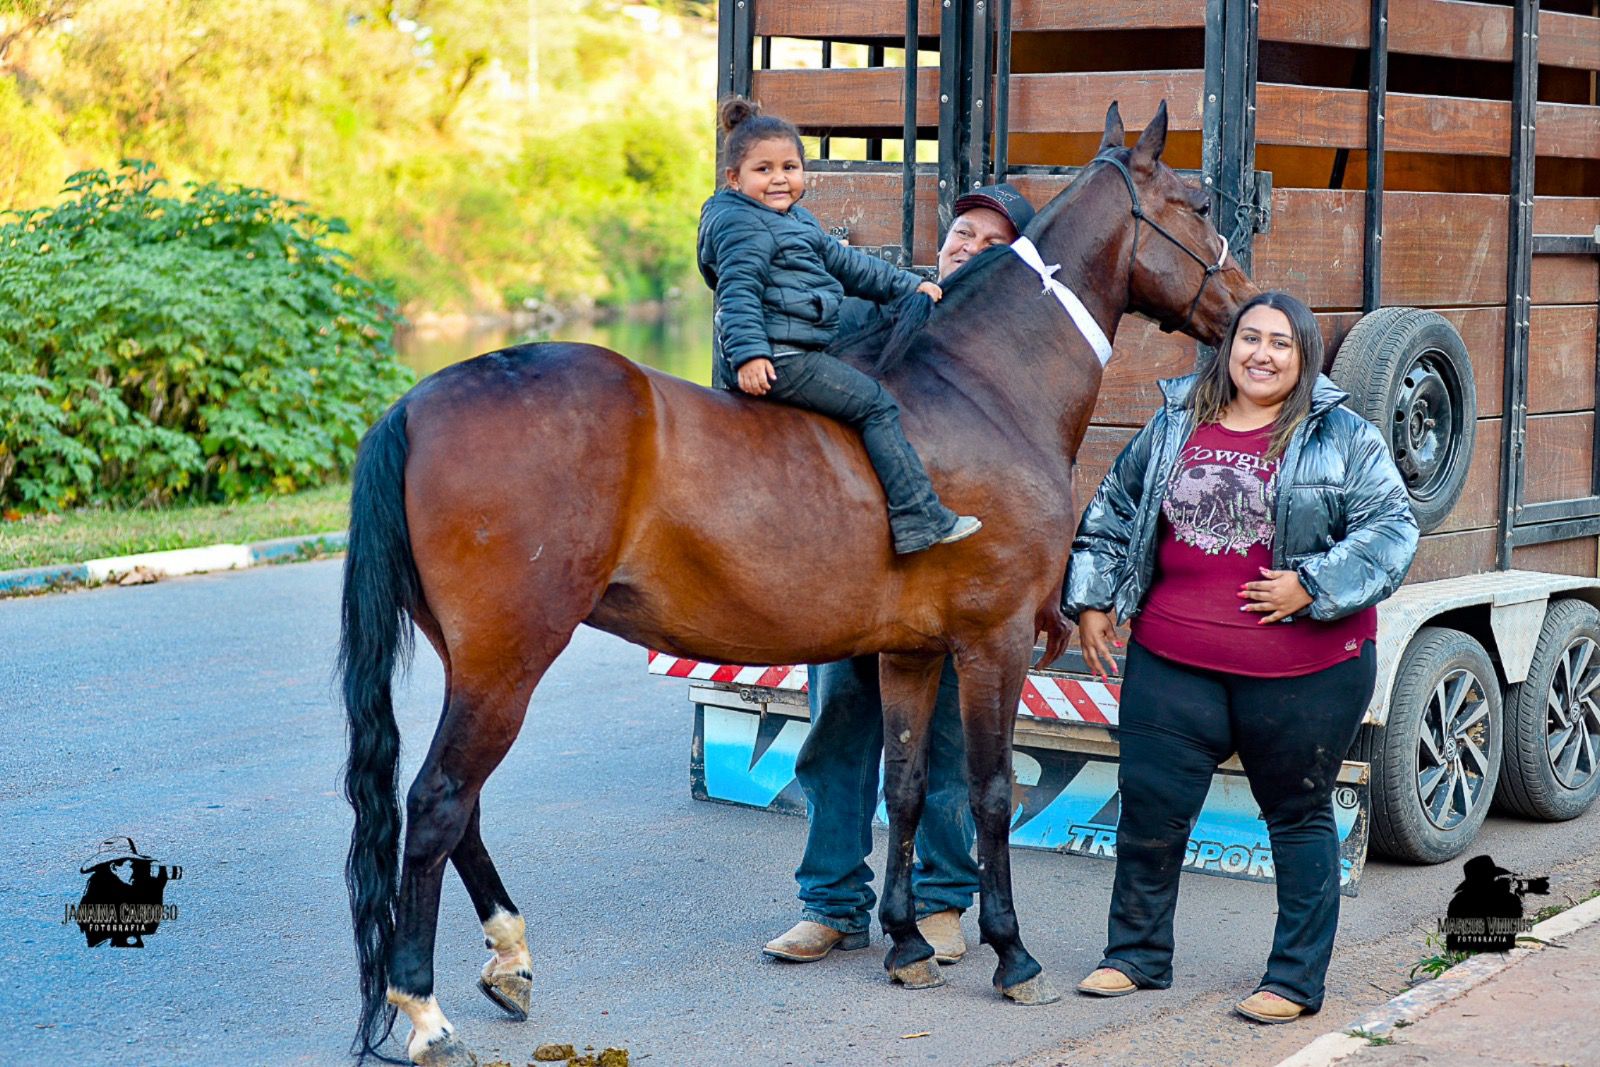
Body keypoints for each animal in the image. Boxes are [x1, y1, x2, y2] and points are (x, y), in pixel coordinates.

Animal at [339, 101, 1258, 1065]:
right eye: (1197, 204)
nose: (1248, 310)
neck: (981, 390)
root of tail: (416, 405)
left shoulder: (911, 651)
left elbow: (903, 785)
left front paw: (906, 941)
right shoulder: (993, 640)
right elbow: (990, 790)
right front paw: (1012, 953)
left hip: (479, 665)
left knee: (461, 808)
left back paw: (509, 958)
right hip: (507, 662)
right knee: (437, 803)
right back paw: (424, 1008)